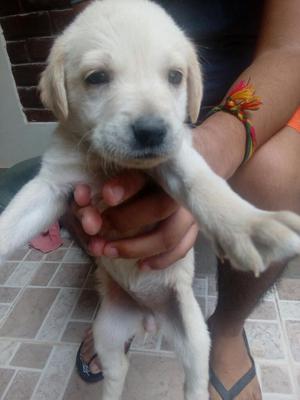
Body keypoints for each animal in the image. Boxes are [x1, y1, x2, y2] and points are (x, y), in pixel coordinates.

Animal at [0, 0, 300, 400]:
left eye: (175, 76)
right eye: (97, 77)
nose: (152, 131)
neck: (108, 164)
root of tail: (149, 316)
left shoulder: (176, 159)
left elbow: (203, 186)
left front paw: (251, 227)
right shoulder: (54, 183)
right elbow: (13, 221)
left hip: (194, 335)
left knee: (194, 379)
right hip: (107, 331)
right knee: (117, 371)